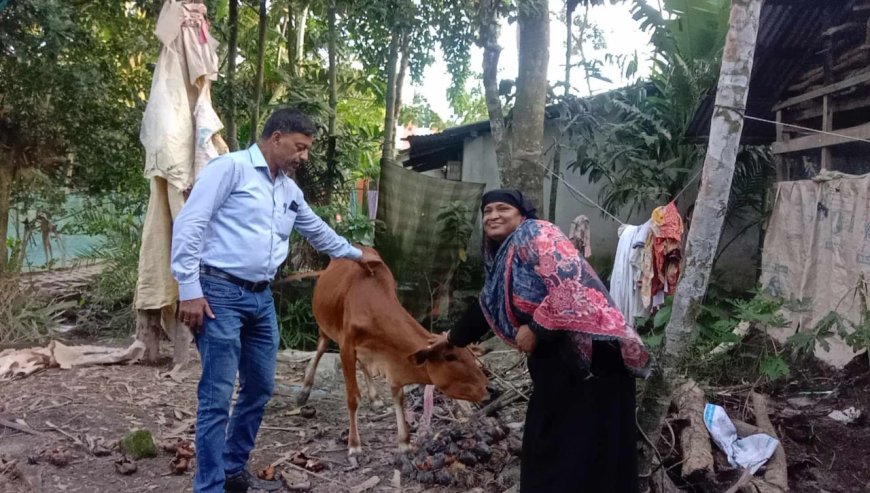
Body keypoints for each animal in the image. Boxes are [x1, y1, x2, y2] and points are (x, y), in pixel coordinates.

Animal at [298, 248, 490, 456]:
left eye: (471, 357)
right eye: (450, 357)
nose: (486, 387)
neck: (371, 303)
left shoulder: (390, 357)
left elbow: (398, 396)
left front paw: (404, 441)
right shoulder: (346, 346)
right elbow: (353, 398)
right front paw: (354, 443)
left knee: (362, 364)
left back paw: (374, 397)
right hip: (326, 327)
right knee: (321, 349)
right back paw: (304, 391)